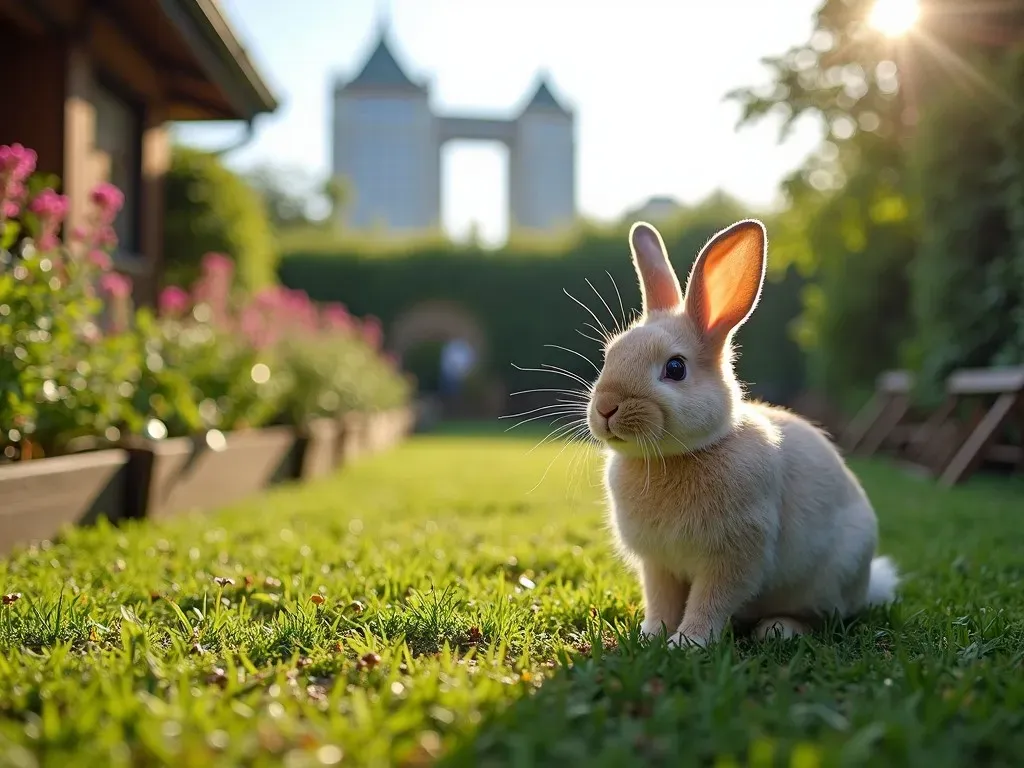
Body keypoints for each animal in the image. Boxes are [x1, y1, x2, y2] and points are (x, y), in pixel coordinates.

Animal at [589, 218, 901, 651]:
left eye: (675, 368)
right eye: (609, 356)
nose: (606, 408)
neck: (675, 456)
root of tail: (867, 585)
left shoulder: (734, 558)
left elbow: (710, 602)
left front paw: (687, 643)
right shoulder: (658, 564)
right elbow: (662, 601)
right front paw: (652, 635)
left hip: (826, 580)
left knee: (822, 618)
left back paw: (779, 630)